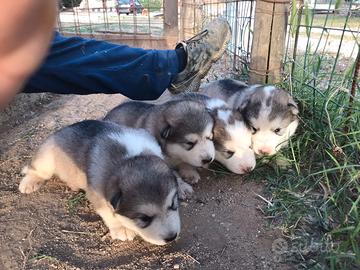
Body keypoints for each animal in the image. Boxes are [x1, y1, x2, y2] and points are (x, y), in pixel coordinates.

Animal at [18, 119, 180, 245]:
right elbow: (108, 213)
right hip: (46, 161)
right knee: (34, 170)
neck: (130, 157)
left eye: (173, 205)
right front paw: (122, 229)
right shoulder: (97, 194)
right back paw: (28, 183)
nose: (172, 237)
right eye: (144, 218)